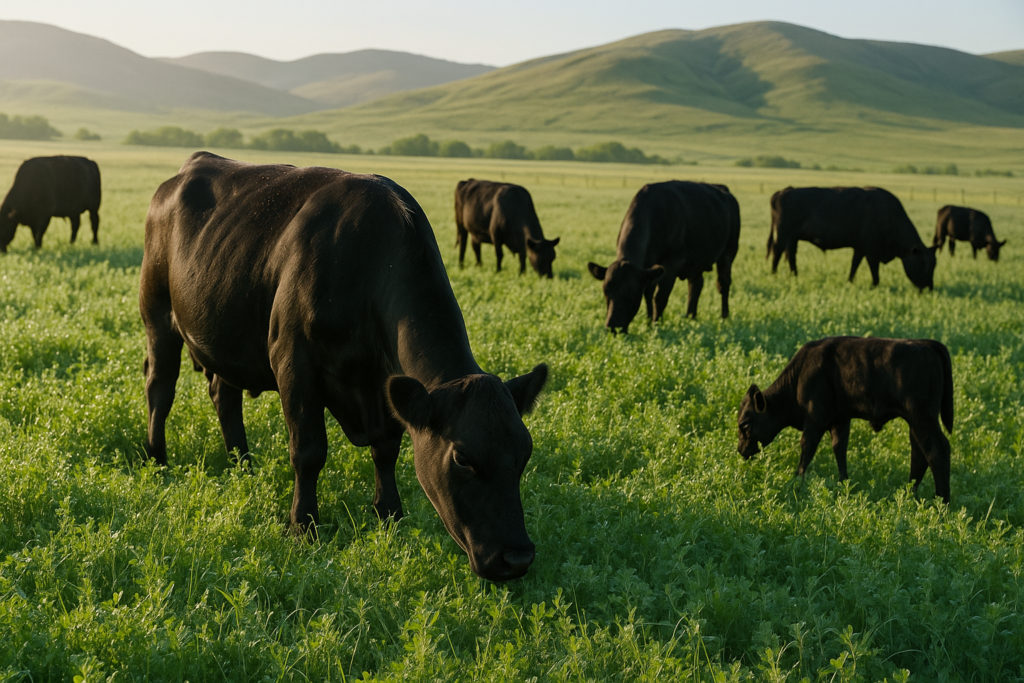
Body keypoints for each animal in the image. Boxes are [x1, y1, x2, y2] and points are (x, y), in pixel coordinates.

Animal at [140, 152, 549, 582]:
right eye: (462, 459)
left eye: (524, 453)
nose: (517, 558)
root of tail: (191, 164)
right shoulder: (293, 361)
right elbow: (308, 451)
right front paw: (302, 527)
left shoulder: (385, 387)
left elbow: (386, 451)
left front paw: (390, 516)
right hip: (157, 312)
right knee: (160, 387)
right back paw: (157, 459)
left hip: (225, 334)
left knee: (224, 395)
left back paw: (243, 467)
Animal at [587, 181, 739, 332]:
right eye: (606, 292)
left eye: (630, 294)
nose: (612, 328)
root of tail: (724, 189)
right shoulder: (649, 269)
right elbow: (648, 293)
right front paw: (649, 322)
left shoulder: (670, 265)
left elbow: (659, 297)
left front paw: (656, 325)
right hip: (696, 261)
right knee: (696, 285)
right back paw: (690, 317)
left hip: (728, 253)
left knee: (723, 283)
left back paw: (724, 318)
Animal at [737, 336, 953, 503]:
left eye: (745, 424)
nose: (741, 450)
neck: (799, 375)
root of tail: (928, 344)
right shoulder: (840, 420)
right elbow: (839, 449)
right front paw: (843, 484)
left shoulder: (815, 420)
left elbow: (807, 448)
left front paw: (796, 481)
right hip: (914, 423)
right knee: (918, 454)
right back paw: (908, 495)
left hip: (922, 418)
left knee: (936, 451)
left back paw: (942, 502)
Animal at [767, 186, 936, 290]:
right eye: (925, 265)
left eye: (934, 265)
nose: (930, 288)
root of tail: (783, 191)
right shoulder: (871, 250)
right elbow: (874, 270)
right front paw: (874, 286)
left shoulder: (860, 248)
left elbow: (854, 264)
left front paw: (849, 281)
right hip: (783, 233)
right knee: (777, 252)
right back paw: (774, 275)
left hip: (792, 237)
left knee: (791, 255)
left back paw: (794, 275)